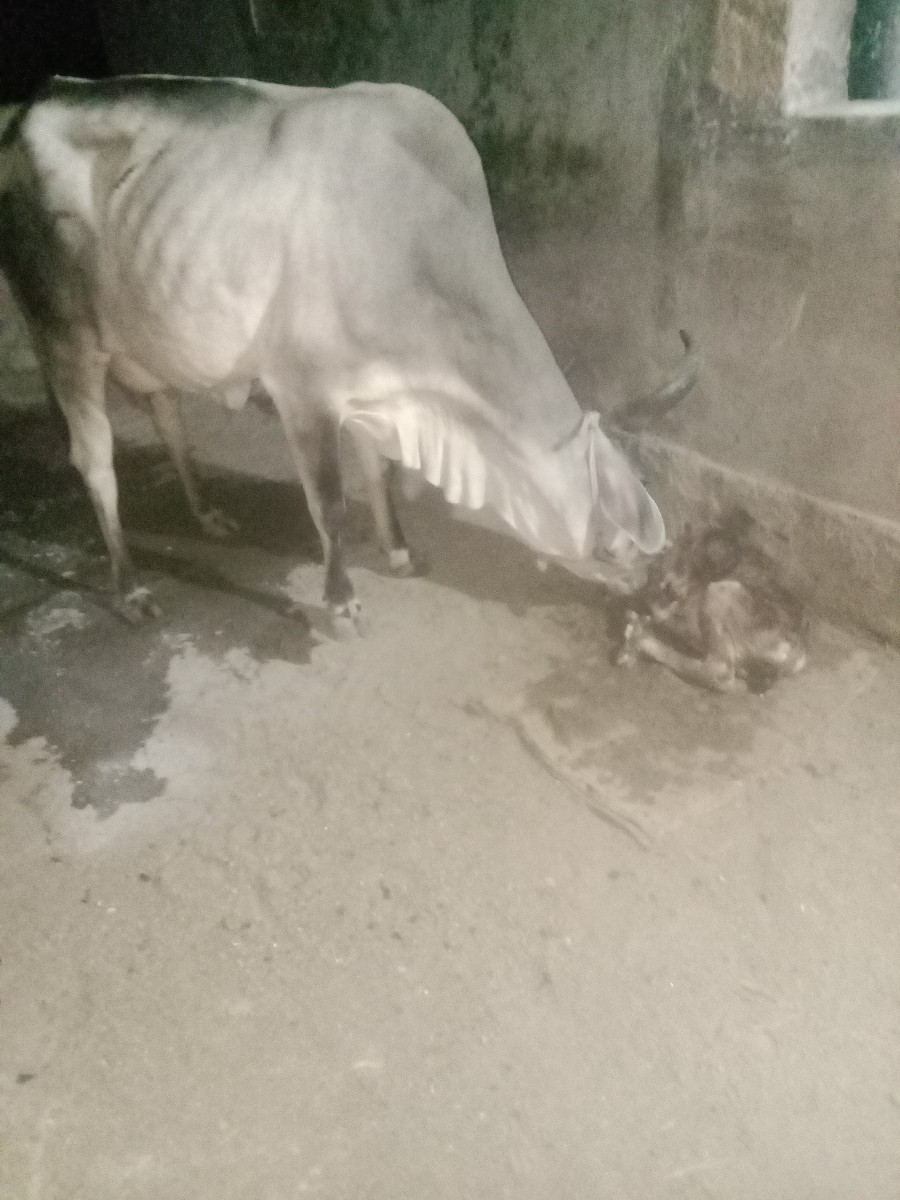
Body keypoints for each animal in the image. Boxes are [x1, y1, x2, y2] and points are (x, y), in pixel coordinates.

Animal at [0, 74, 699, 630]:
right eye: (614, 543)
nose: (655, 588)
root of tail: (36, 100)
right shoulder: (303, 392)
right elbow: (330, 505)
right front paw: (341, 599)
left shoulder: (375, 390)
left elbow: (378, 473)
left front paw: (399, 551)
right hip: (65, 334)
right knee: (94, 460)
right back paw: (130, 586)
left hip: (151, 333)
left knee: (170, 418)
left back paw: (207, 513)